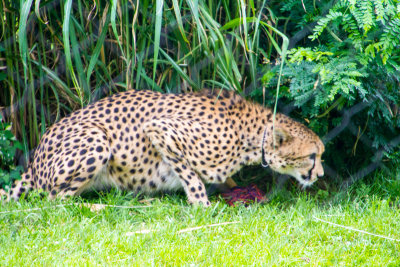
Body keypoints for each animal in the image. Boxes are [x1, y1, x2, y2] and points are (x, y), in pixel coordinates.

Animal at [1, 89, 324, 206]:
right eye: (312, 156)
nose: (320, 174)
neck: (249, 136)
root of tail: (34, 161)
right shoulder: (161, 130)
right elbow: (192, 177)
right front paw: (202, 206)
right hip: (97, 140)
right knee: (54, 202)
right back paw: (105, 206)